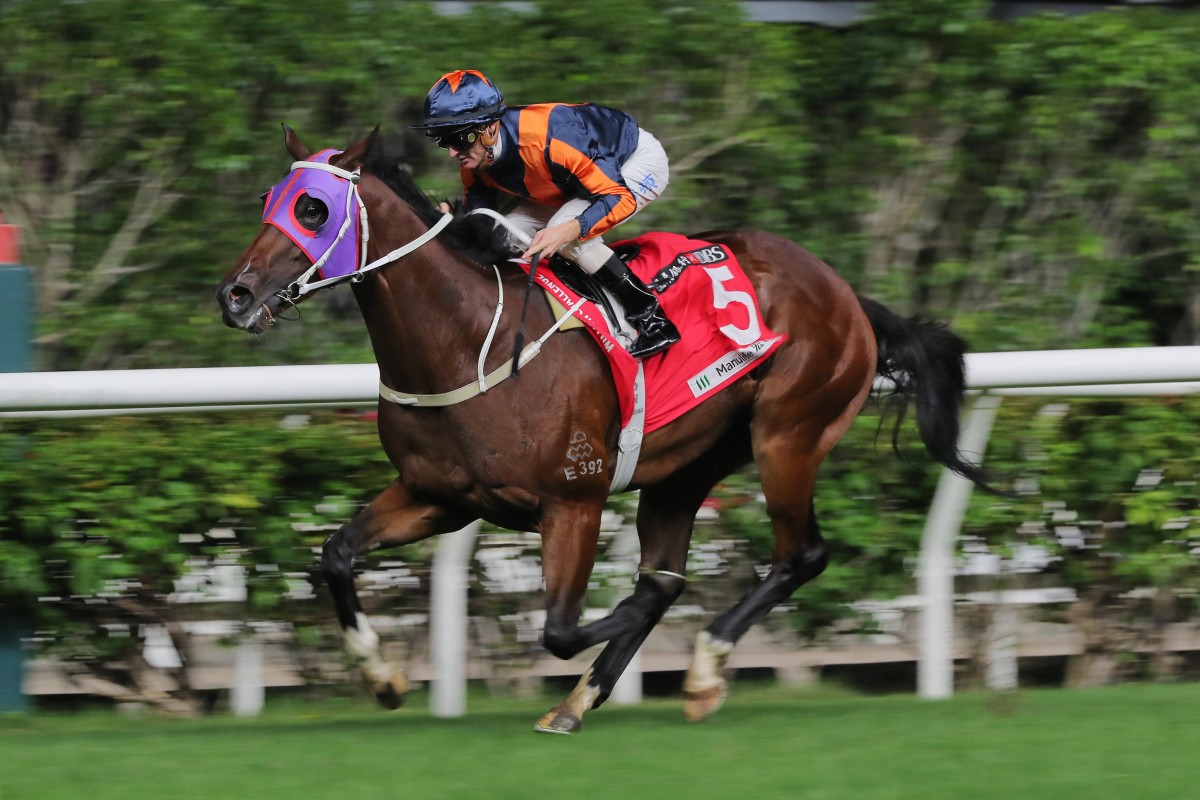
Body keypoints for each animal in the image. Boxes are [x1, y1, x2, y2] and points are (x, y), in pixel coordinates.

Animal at [218, 128, 993, 734]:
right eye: (267, 201)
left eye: (313, 209)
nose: (235, 295)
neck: (468, 340)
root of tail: (845, 293)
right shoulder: (439, 497)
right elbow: (337, 554)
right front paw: (382, 678)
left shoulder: (574, 501)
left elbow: (561, 628)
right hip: (687, 467)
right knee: (672, 572)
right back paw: (581, 701)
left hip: (789, 434)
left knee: (797, 556)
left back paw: (703, 669)